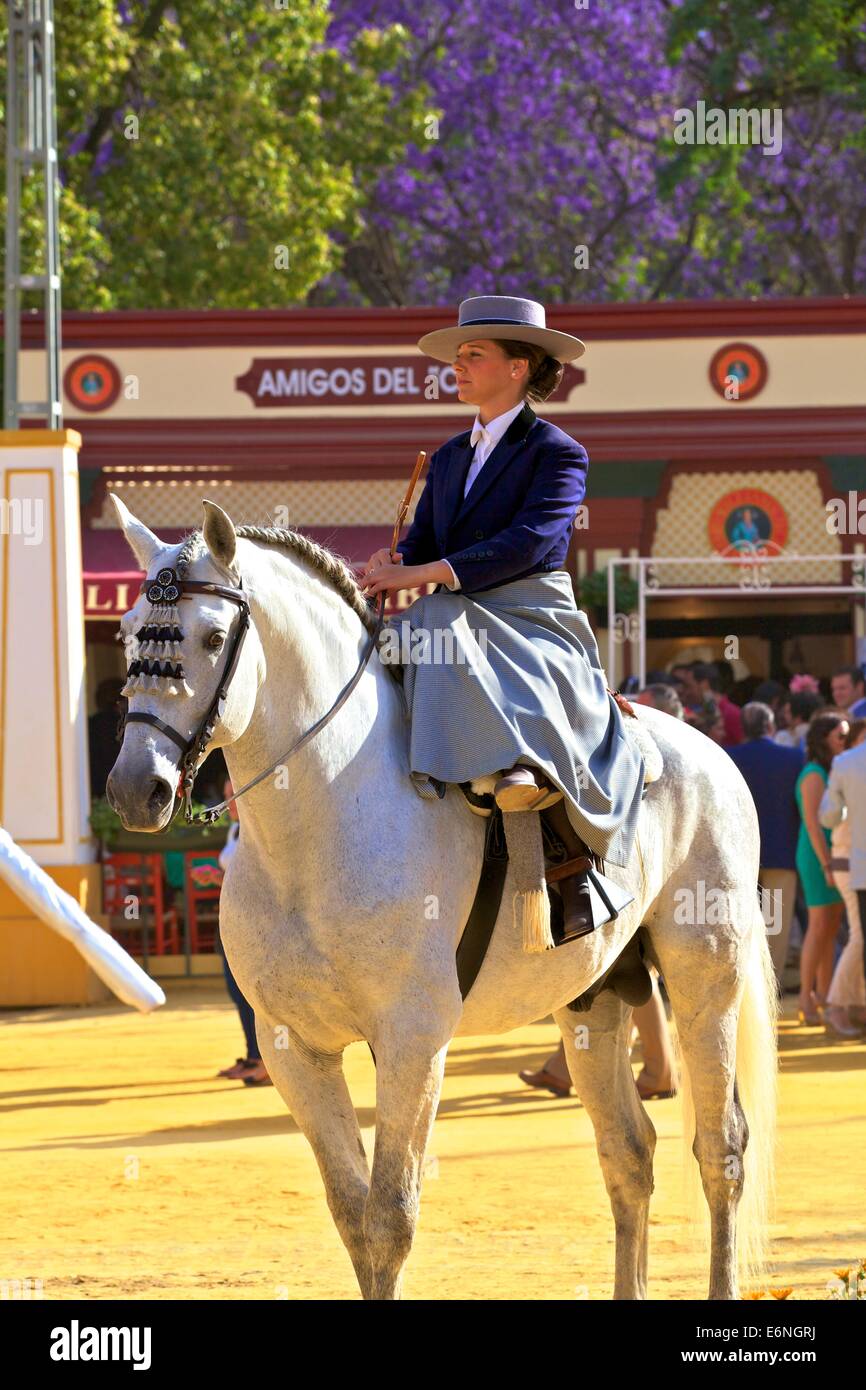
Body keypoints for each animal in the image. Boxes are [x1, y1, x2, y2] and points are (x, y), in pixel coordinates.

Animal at [106, 495, 778, 1301]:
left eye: (211, 636)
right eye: (126, 631)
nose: (134, 790)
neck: (317, 828)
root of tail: (706, 751)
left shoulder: (411, 1040)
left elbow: (390, 1217)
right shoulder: (292, 1047)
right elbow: (352, 1214)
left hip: (706, 976)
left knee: (722, 1149)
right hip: (593, 996)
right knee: (627, 1151)